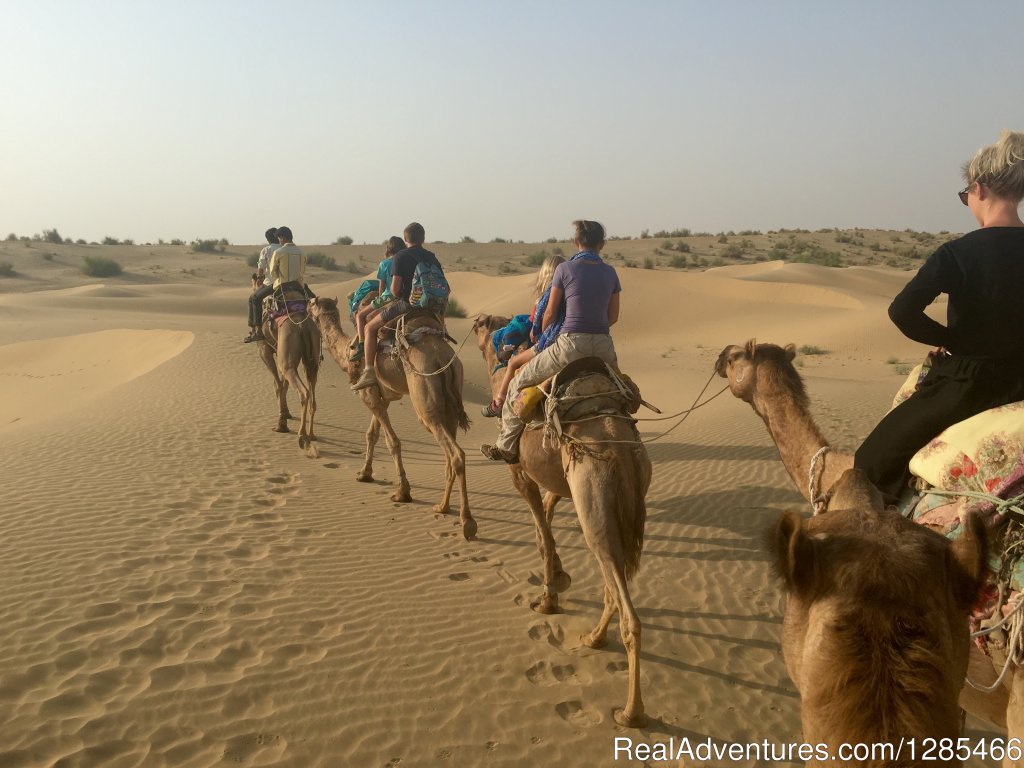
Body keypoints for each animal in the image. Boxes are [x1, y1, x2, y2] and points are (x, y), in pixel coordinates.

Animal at [253, 290, 317, 456]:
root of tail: (302, 325)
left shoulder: (264, 349)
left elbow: (277, 385)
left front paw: (282, 423)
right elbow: (283, 385)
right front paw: (286, 414)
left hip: (286, 360)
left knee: (303, 392)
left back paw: (302, 436)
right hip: (311, 360)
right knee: (312, 392)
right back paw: (312, 435)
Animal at [305, 296, 477, 540]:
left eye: (312, 303)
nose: (304, 306)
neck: (347, 354)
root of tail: (442, 358)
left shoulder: (368, 396)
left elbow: (392, 442)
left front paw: (402, 492)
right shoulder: (380, 397)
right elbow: (372, 434)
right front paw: (364, 473)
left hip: (425, 399)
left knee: (455, 453)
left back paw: (467, 521)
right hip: (450, 399)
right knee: (449, 453)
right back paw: (442, 507)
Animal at [468, 313, 647, 729]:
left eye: (484, 327)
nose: (475, 321)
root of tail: (619, 446)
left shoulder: (520, 472)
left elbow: (543, 531)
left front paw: (548, 598)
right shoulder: (557, 480)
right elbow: (545, 523)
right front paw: (561, 578)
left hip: (593, 504)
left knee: (624, 603)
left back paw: (630, 711)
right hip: (619, 503)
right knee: (613, 579)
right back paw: (594, 638)